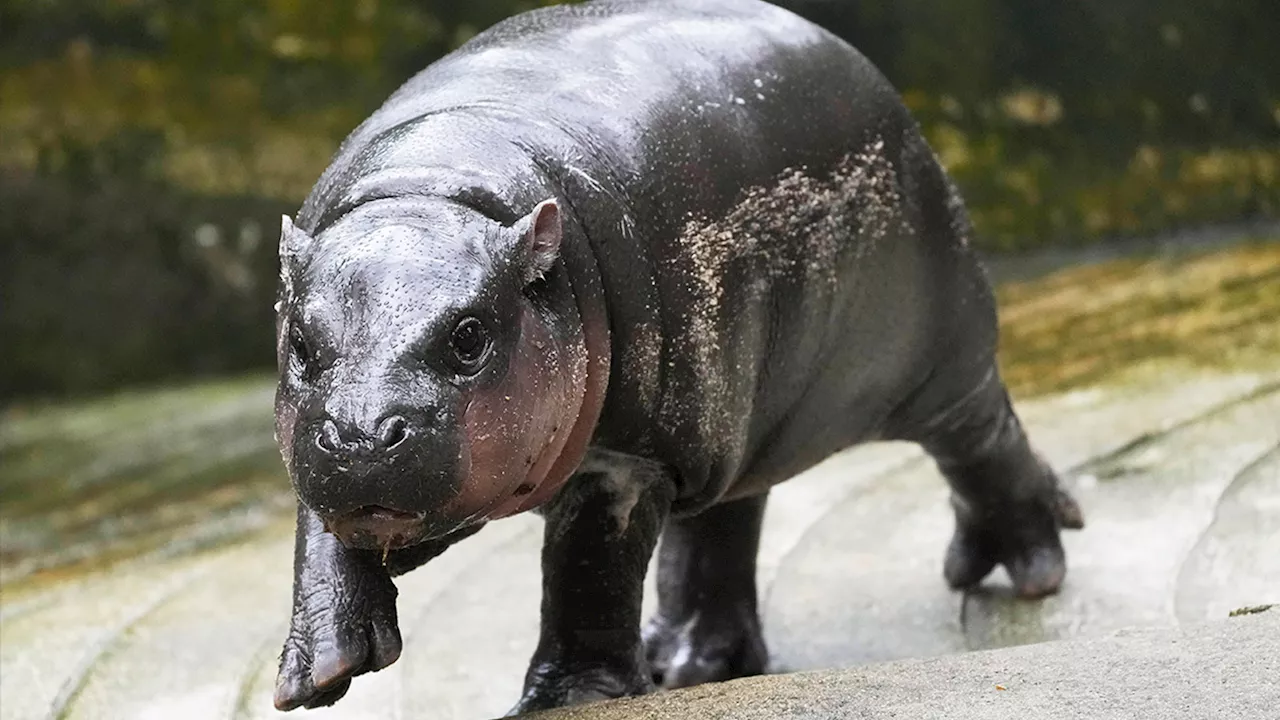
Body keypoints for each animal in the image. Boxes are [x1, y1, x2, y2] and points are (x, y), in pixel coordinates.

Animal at [270, 0, 1080, 707]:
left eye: (470, 336)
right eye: (300, 342)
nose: (362, 436)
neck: (432, 191)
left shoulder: (632, 456)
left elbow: (590, 571)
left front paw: (567, 699)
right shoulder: (316, 444)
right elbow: (320, 533)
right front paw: (319, 672)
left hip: (934, 357)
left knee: (981, 437)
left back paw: (1027, 568)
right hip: (737, 416)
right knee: (722, 525)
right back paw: (689, 663)